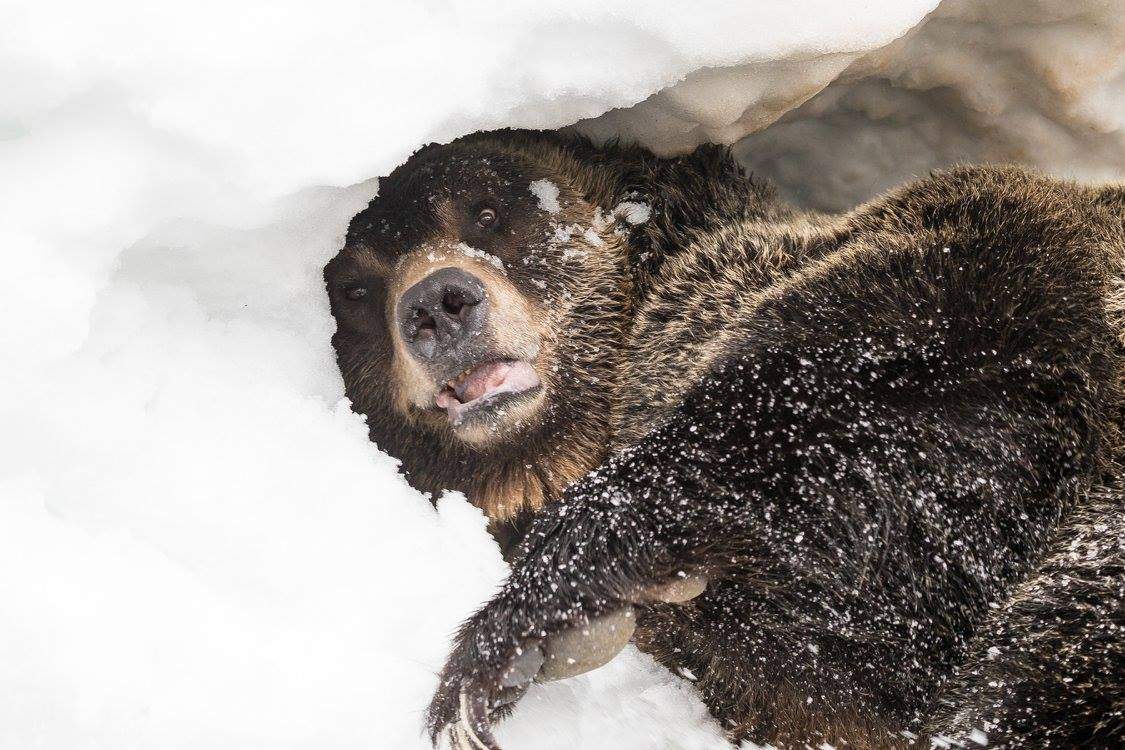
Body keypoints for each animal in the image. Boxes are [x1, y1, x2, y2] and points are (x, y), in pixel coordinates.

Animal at [323, 129, 1124, 749]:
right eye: (356, 289)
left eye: (489, 212)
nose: (437, 301)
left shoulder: (982, 283)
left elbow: (795, 410)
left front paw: (500, 648)